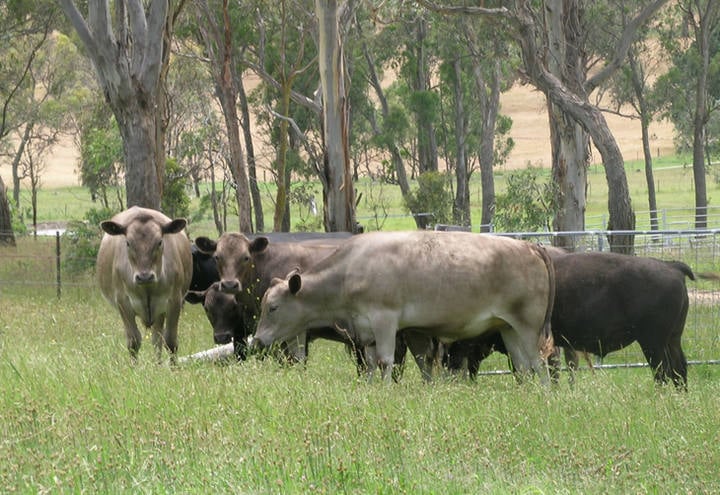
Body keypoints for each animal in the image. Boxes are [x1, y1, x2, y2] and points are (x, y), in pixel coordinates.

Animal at [95, 207, 193, 362]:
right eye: (128, 243)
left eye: (159, 242)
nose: (144, 276)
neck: (147, 287)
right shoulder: (123, 302)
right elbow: (133, 342)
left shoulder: (175, 301)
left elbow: (170, 341)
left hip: (159, 311)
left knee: (157, 339)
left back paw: (158, 364)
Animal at [250, 232, 556, 384]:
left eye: (273, 308)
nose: (258, 339)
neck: (349, 270)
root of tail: (531, 247)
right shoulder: (367, 330)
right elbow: (371, 363)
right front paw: (370, 388)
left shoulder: (384, 320)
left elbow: (386, 361)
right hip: (508, 327)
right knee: (523, 366)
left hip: (529, 328)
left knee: (538, 363)